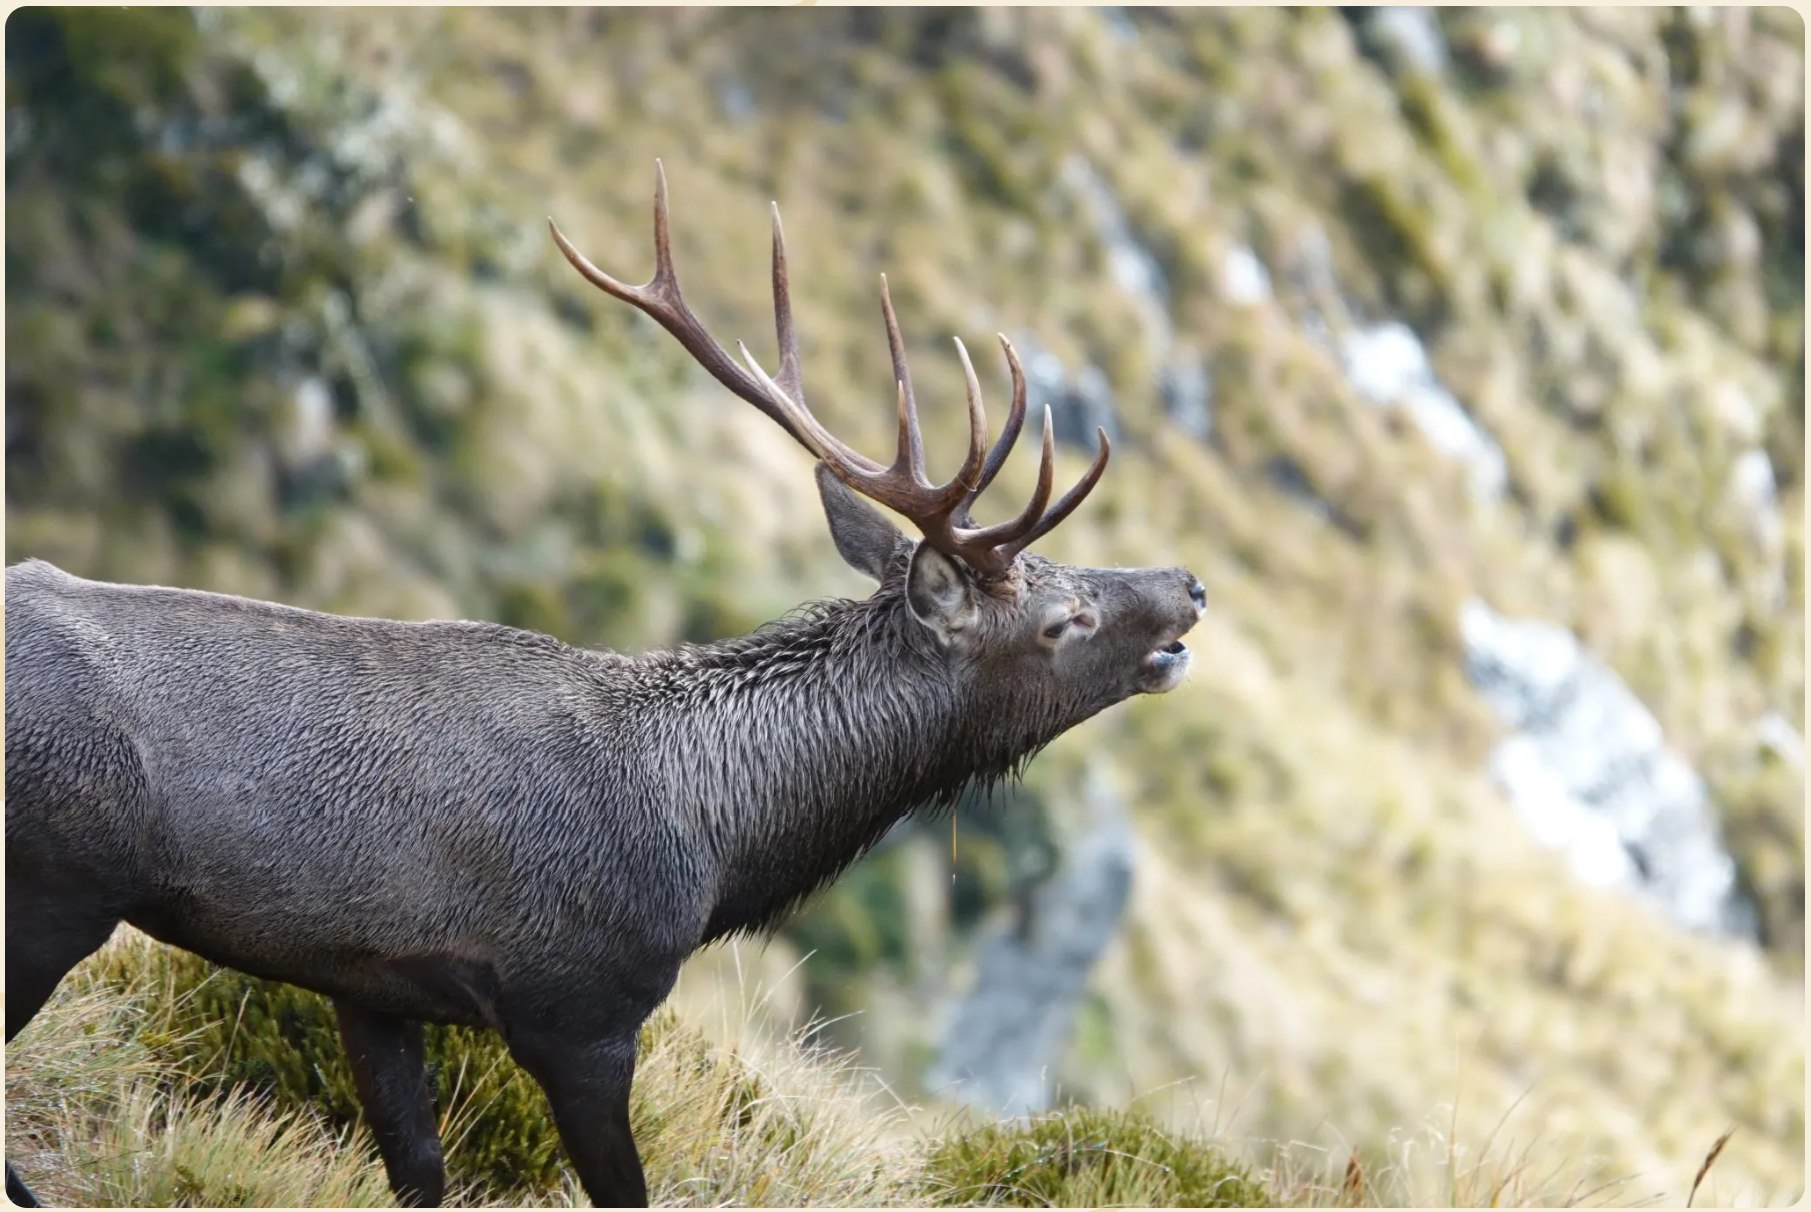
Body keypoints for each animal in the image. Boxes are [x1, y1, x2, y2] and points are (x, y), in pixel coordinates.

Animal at [4, 162, 1205, 1209]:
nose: (1187, 587)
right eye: (1061, 620)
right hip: (59, 880)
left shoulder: (369, 979)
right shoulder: (579, 1006)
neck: (719, 843)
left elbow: (420, 1172)